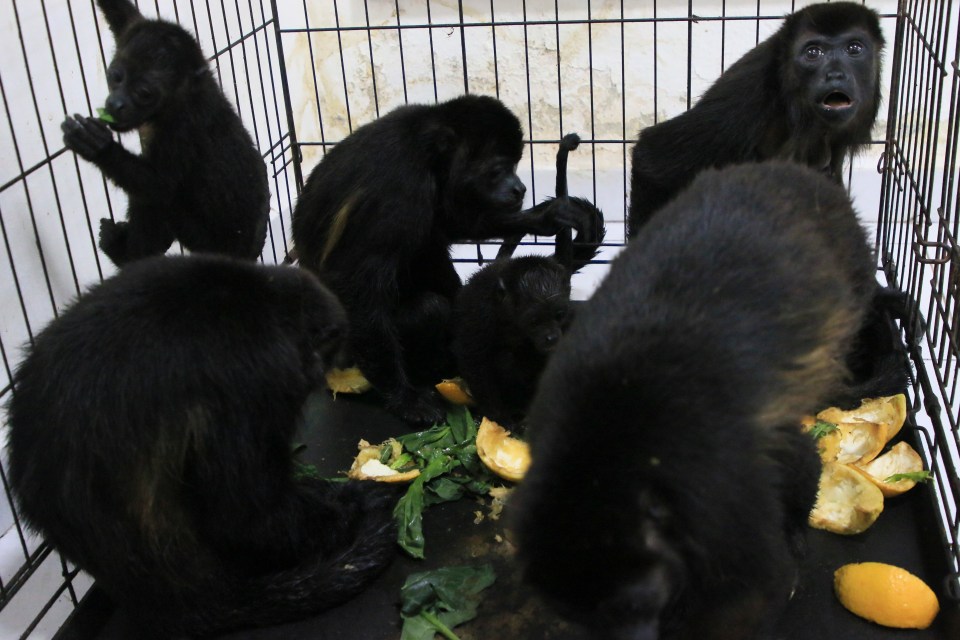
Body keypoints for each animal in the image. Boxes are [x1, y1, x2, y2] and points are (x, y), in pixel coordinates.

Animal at [60, 0, 270, 266]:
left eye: (144, 93)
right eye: (115, 77)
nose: (116, 104)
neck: (180, 97)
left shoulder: (182, 128)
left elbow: (159, 187)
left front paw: (98, 147)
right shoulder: (135, 27)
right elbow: (121, 13)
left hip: (202, 240)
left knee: (157, 202)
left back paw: (126, 256)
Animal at [452, 132, 604, 428]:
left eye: (558, 315)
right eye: (534, 320)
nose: (551, 336)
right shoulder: (480, 315)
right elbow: (475, 363)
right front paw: (501, 419)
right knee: (505, 360)